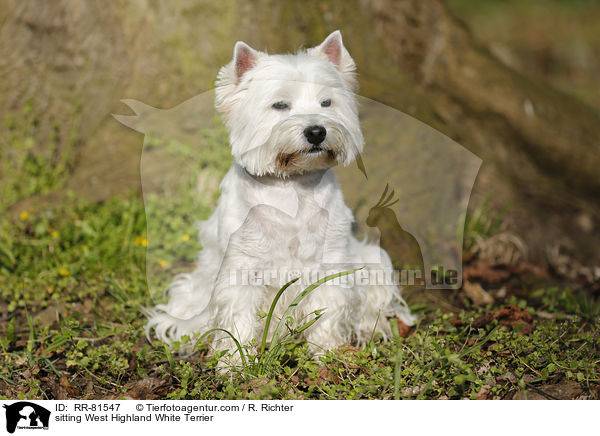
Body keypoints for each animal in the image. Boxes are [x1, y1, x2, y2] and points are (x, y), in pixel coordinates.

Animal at [148, 30, 414, 358]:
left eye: (326, 102)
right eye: (279, 105)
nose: (316, 131)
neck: (291, 186)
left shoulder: (330, 262)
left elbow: (328, 310)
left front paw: (325, 353)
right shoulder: (242, 267)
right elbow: (238, 319)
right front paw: (234, 362)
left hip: (373, 262)